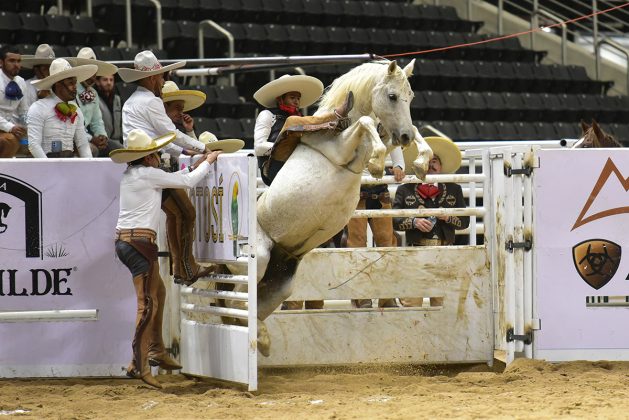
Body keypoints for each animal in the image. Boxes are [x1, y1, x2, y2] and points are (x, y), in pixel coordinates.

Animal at [224, 59, 432, 354]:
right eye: (392, 96)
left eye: (410, 96)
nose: (402, 136)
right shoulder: (342, 149)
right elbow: (367, 122)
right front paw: (378, 164)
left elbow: (392, 132)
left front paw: (420, 162)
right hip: (258, 259)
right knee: (235, 302)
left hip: (280, 282)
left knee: (251, 307)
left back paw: (262, 338)